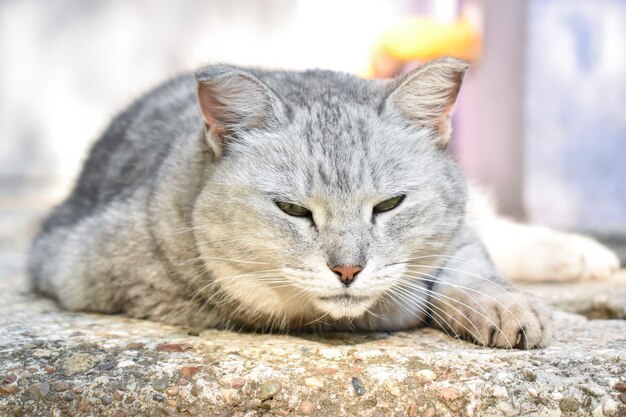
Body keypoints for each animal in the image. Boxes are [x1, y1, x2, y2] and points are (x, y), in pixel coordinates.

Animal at [25, 57, 620, 348]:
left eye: (389, 204)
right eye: (293, 211)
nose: (348, 270)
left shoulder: (455, 230)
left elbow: (468, 261)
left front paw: (505, 305)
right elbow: (403, 299)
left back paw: (588, 257)